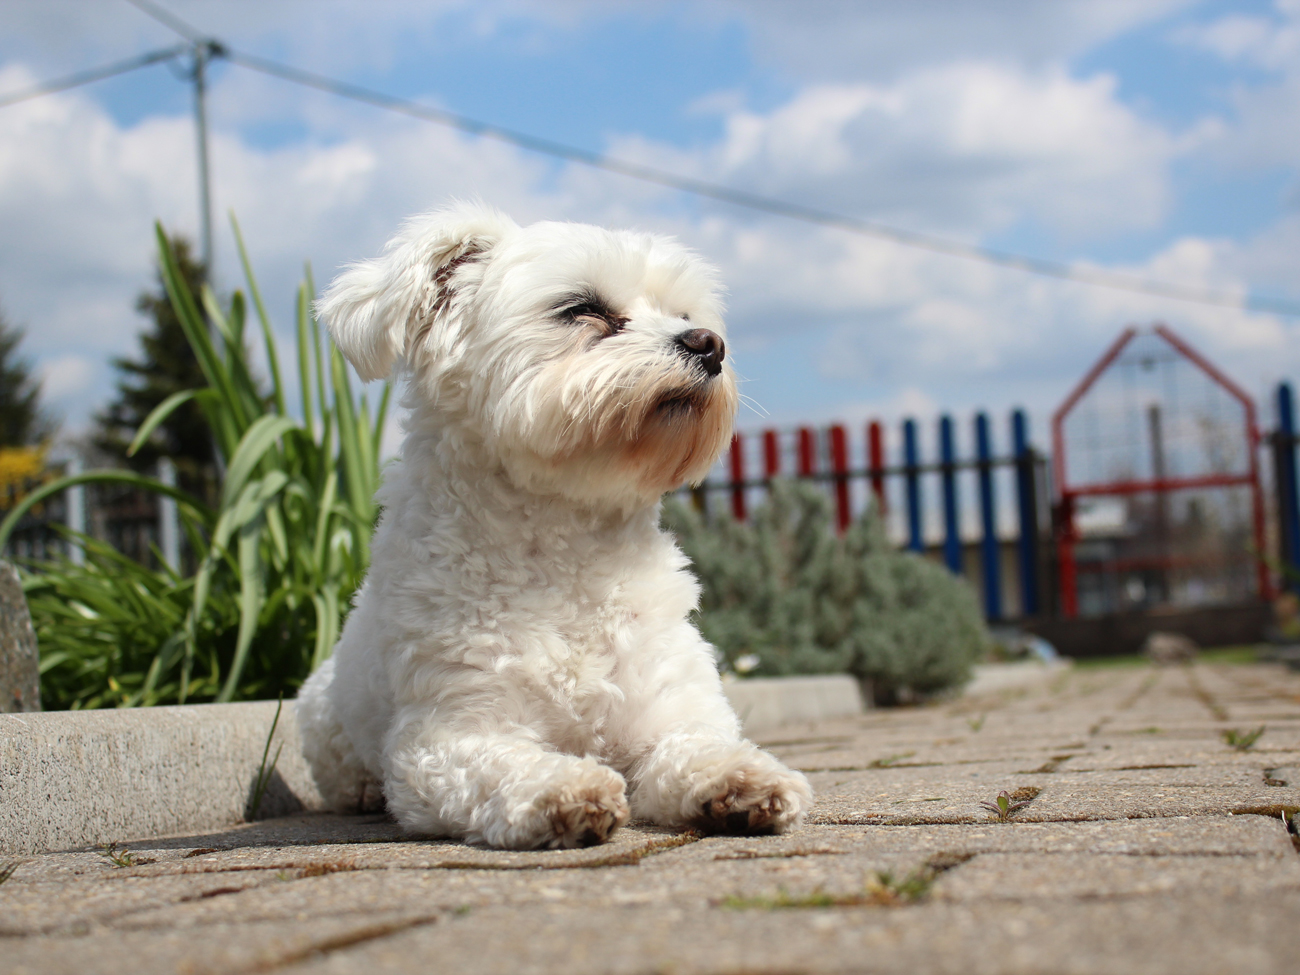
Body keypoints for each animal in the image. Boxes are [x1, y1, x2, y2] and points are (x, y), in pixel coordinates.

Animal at [299, 204, 816, 847]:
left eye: (685, 316)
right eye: (582, 309)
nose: (709, 343)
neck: (569, 551)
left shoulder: (668, 704)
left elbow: (694, 746)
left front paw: (740, 777)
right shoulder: (446, 737)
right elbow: (504, 764)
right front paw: (563, 788)